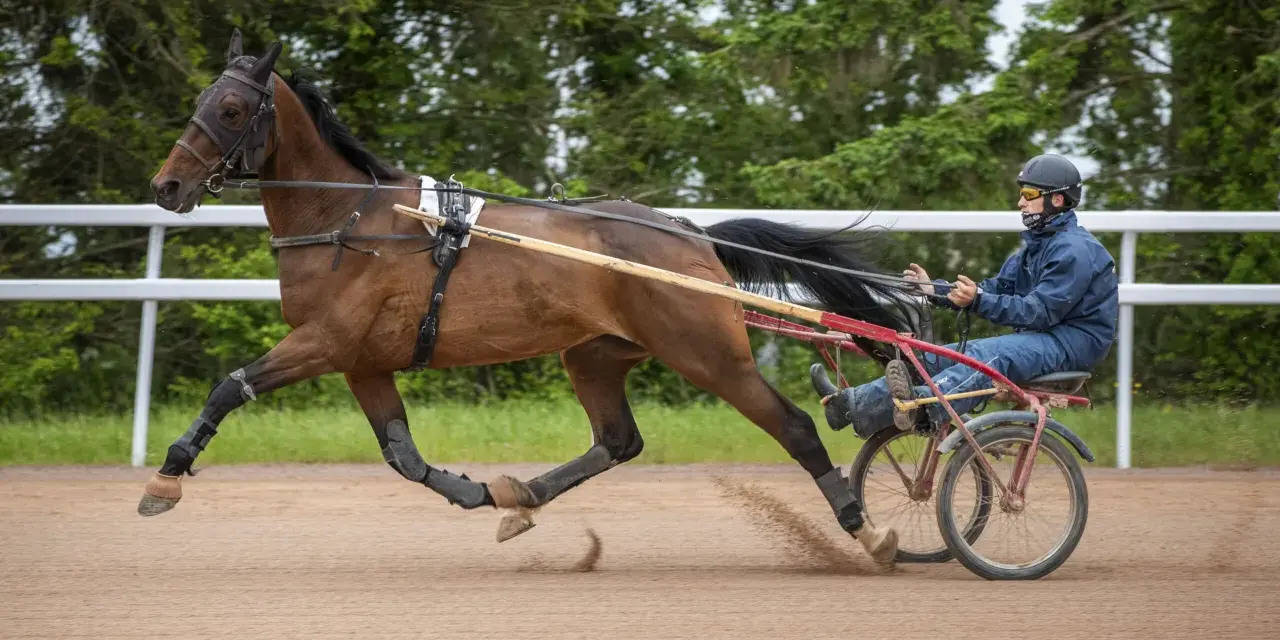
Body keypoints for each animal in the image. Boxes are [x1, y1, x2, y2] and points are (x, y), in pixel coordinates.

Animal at [142, 29, 923, 566]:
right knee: (618, 440)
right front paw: (478, 492)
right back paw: (521, 498)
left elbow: (230, 386)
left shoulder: (326, 342)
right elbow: (402, 454)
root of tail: (687, 233)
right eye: (199, 102)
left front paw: (167, 477)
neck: (350, 219)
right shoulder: (363, 361)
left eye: (233, 107)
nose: (166, 186)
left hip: (707, 352)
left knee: (793, 427)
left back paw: (868, 530)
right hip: (596, 354)